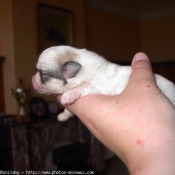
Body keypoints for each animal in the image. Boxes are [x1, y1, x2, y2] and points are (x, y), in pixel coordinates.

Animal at [32, 45, 175, 121]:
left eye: (41, 73)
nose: (32, 80)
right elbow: (68, 110)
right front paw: (62, 116)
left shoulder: (99, 87)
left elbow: (84, 86)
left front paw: (68, 95)